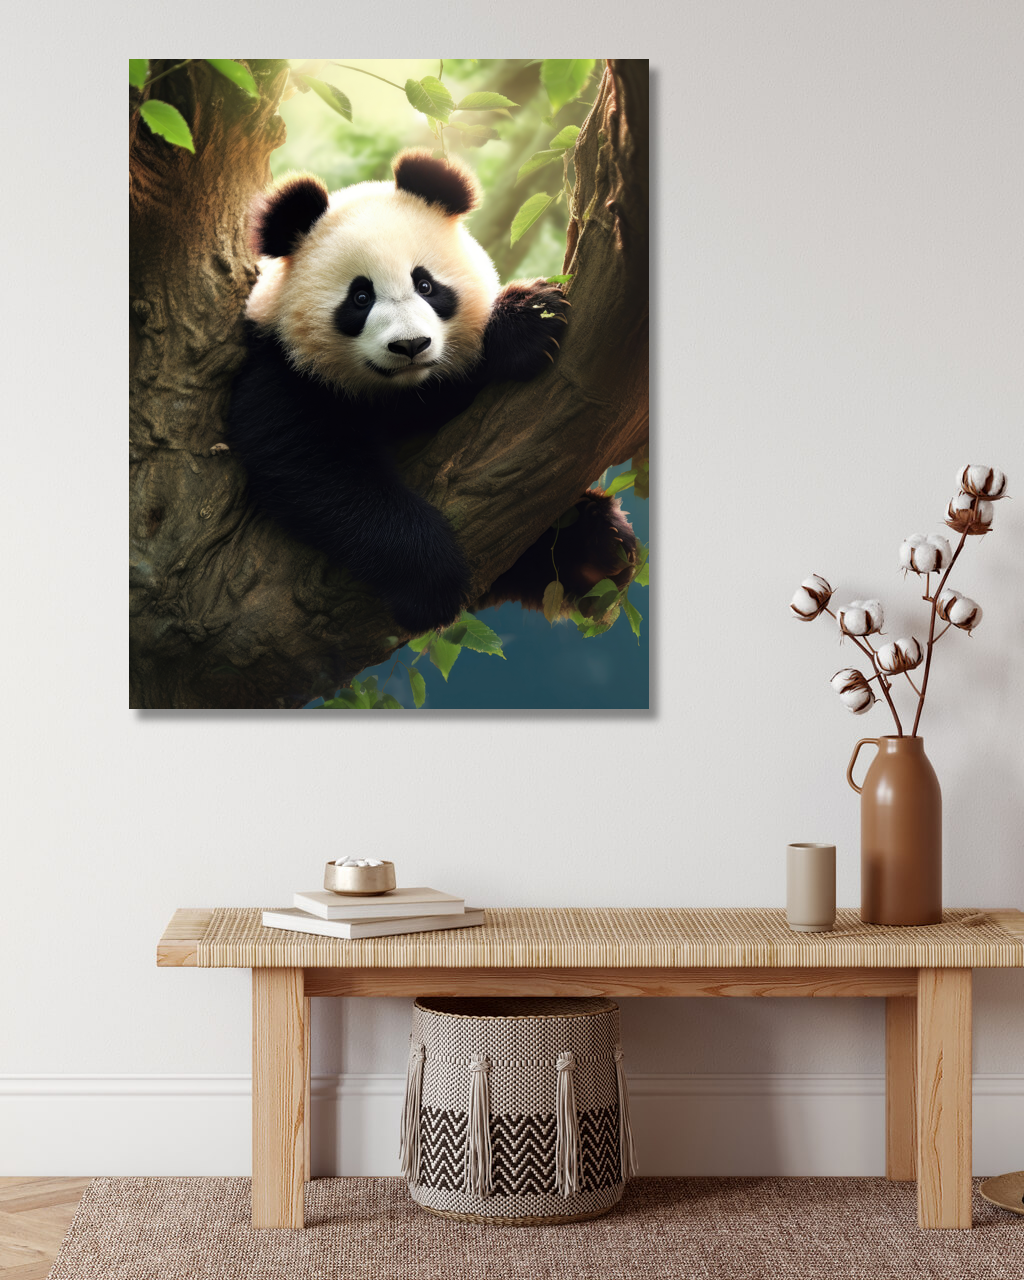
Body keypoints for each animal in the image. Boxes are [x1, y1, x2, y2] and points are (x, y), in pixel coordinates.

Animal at [227, 148, 636, 635]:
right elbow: (317, 470)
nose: (410, 346)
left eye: (426, 285)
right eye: (360, 297)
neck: (402, 390)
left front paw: (526, 320)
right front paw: (432, 582)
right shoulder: (283, 374)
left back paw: (599, 548)